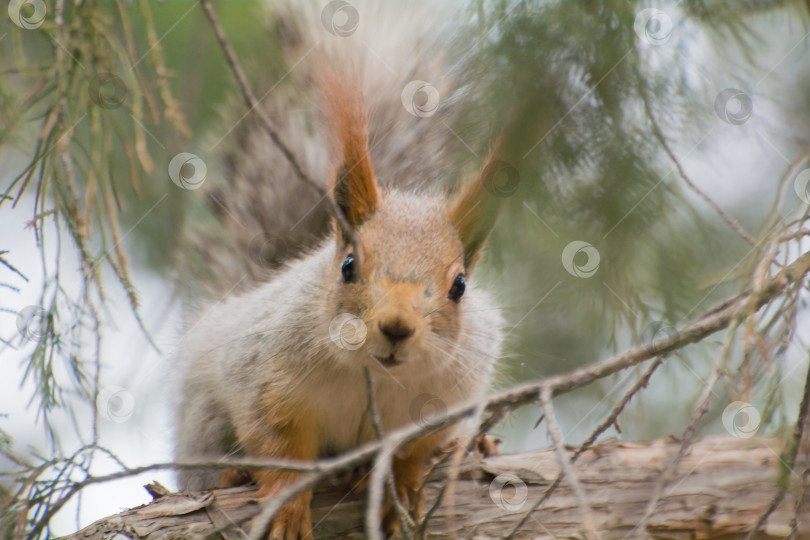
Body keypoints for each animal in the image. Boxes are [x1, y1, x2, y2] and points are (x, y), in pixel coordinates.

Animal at [173, 2, 502, 536]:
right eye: (349, 266)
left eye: (459, 286)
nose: (396, 327)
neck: (371, 375)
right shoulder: (264, 375)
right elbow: (278, 445)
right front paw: (285, 505)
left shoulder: (452, 391)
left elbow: (416, 449)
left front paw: (402, 488)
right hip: (203, 417)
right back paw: (231, 473)